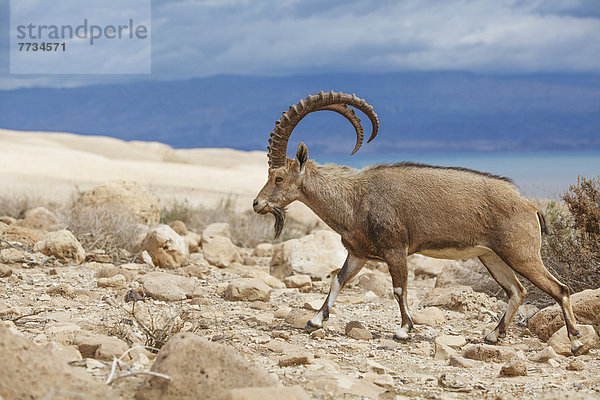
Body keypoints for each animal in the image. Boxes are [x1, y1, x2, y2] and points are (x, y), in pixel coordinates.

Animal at [253, 91, 584, 356]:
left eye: (278, 177)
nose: (257, 204)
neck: (354, 197)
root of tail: (529, 206)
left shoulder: (395, 249)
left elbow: (399, 288)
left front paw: (404, 329)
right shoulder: (359, 253)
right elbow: (339, 279)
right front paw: (314, 320)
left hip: (522, 253)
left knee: (560, 289)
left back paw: (576, 341)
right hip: (491, 256)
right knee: (518, 290)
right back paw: (493, 335)